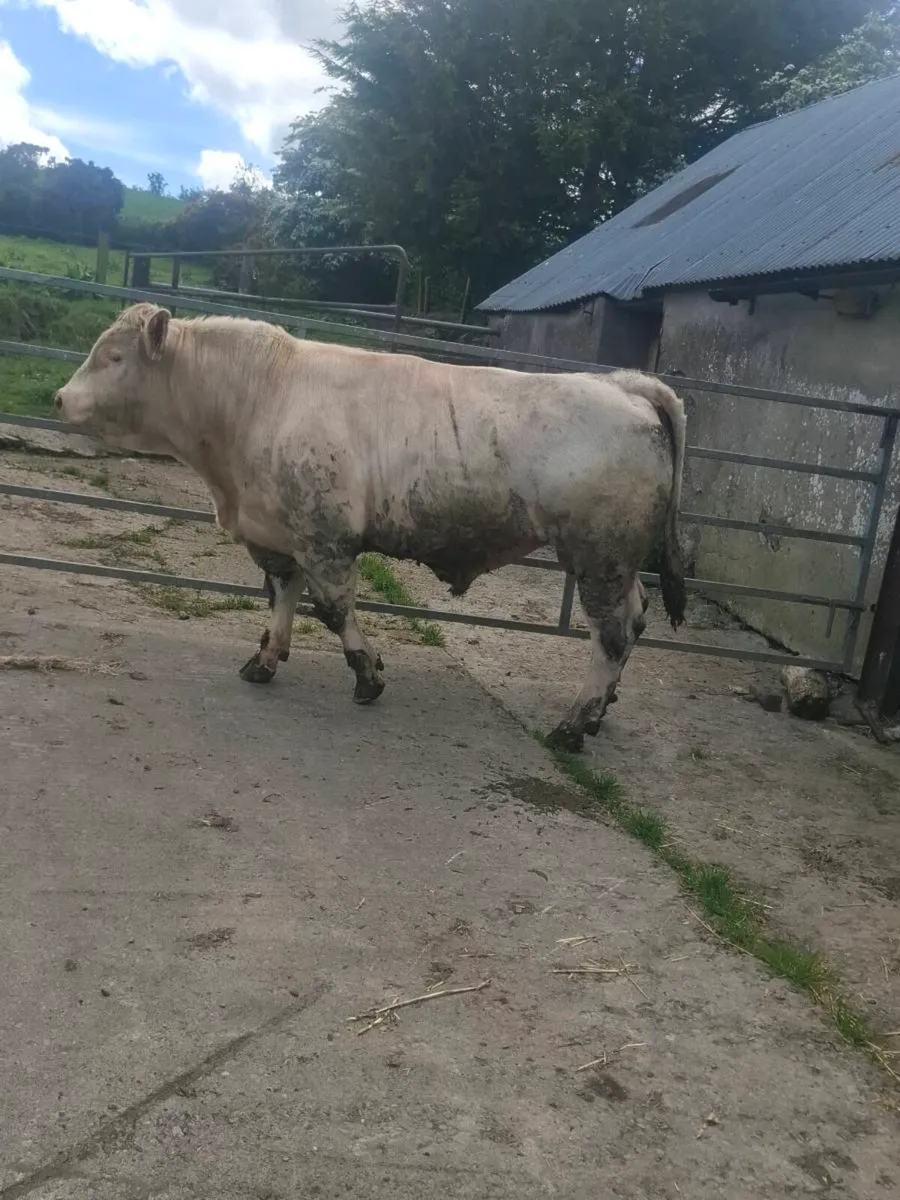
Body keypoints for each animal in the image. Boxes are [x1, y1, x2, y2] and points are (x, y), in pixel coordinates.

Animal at [55, 303, 686, 751]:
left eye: (115, 358)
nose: (60, 398)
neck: (259, 399)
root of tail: (625, 384)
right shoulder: (278, 533)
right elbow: (282, 597)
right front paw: (265, 660)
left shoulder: (325, 534)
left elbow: (334, 609)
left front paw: (367, 675)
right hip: (618, 561)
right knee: (634, 618)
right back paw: (601, 713)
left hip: (598, 554)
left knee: (610, 636)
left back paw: (574, 725)